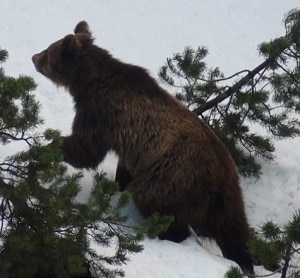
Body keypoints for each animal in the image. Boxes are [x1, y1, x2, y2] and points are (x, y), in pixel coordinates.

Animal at [32, 21, 253, 274]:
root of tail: (220, 173)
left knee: (159, 205)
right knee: (235, 231)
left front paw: (46, 146)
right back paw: (244, 261)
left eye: (49, 51)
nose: (34, 57)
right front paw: (118, 183)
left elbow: (86, 149)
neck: (88, 81)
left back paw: (162, 234)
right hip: (228, 197)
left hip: (171, 176)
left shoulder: (101, 112)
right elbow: (120, 165)